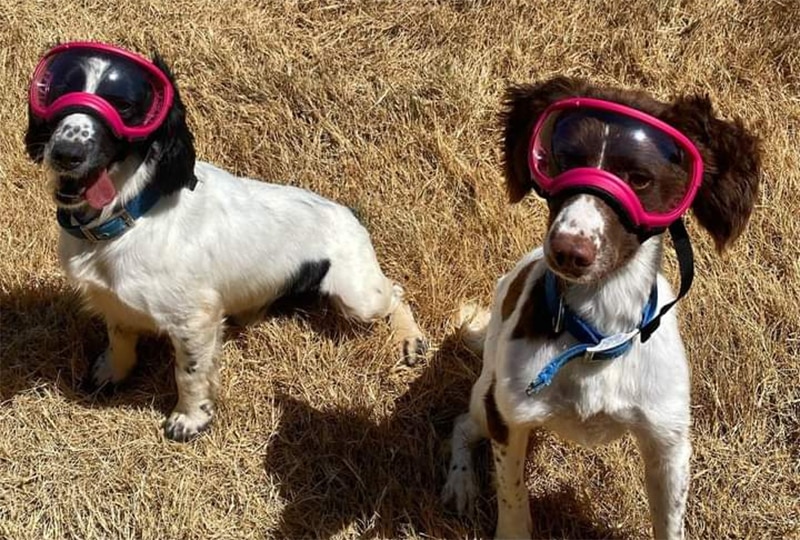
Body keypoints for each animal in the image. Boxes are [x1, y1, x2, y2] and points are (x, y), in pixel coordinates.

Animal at [23, 44, 424, 442]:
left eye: (124, 104)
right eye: (58, 90)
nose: (65, 153)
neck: (130, 216)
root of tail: (349, 212)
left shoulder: (196, 320)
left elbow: (189, 374)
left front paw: (189, 419)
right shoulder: (115, 303)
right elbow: (119, 339)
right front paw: (111, 373)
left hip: (358, 297)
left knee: (397, 292)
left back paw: (412, 341)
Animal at [440, 77, 760, 540]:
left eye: (640, 178)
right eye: (562, 159)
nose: (568, 250)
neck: (598, 333)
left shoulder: (669, 443)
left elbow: (670, 521)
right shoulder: (509, 417)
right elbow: (513, 498)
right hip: (487, 396)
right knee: (463, 424)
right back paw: (460, 482)